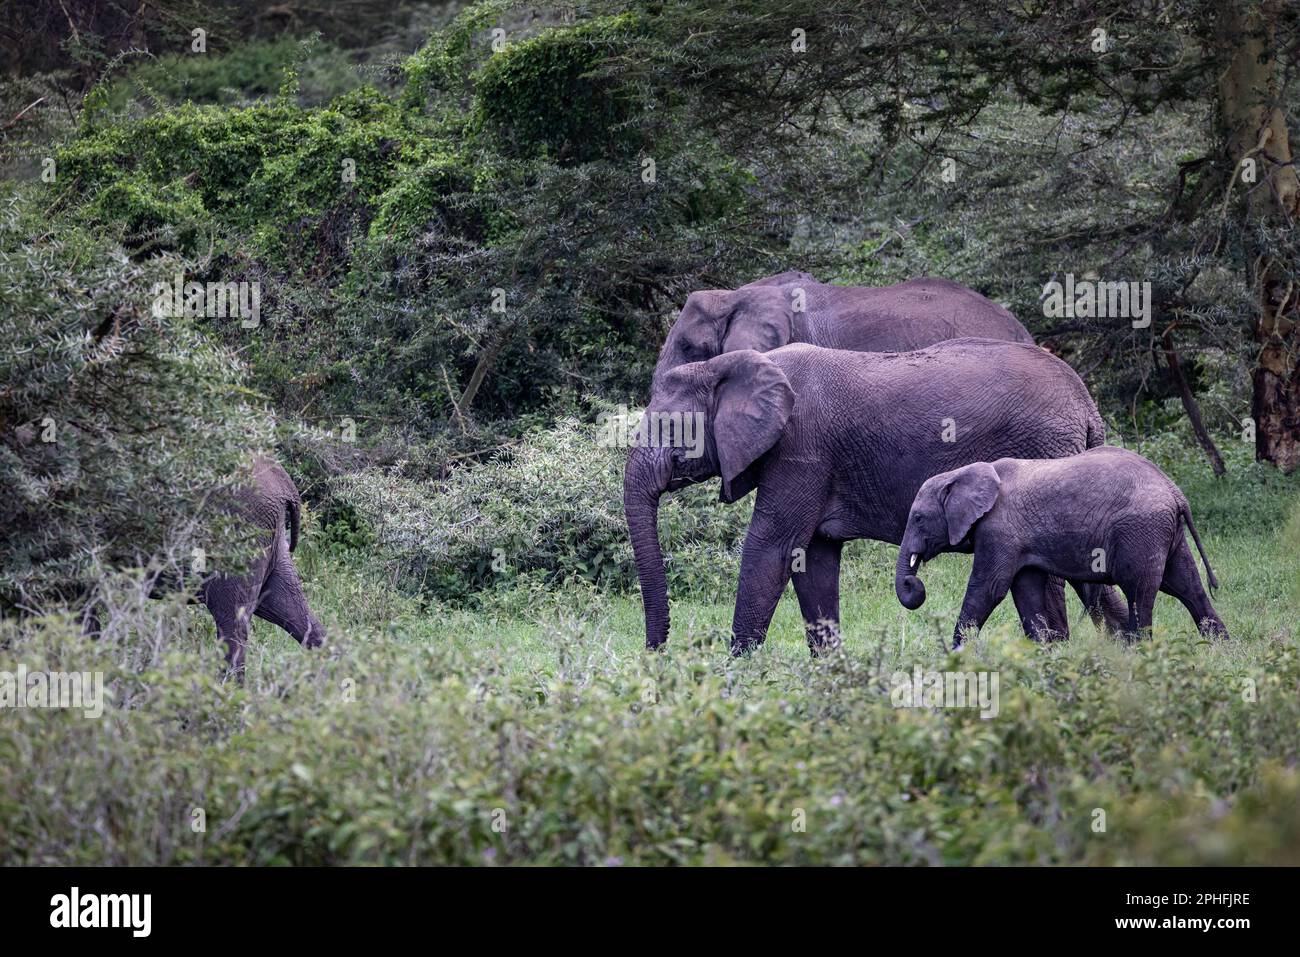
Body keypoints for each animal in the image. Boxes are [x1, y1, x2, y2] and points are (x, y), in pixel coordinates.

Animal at [624, 338, 1121, 654]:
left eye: (671, 428)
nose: (656, 655)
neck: (733, 364)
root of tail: (1086, 406)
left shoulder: (802, 448)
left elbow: (773, 547)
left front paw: (737, 676)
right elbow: (812, 560)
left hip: (1043, 453)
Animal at [895, 448, 1228, 646]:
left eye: (918, 518)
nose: (915, 584)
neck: (962, 473)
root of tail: (1175, 491)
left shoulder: (999, 531)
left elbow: (988, 588)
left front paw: (956, 654)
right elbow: (1025, 590)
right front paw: (1043, 652)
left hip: (1141, 530)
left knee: (1140, 591)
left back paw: (1140, 653)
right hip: (1165, 532)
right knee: (1186, 585)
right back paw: (1220, 647)